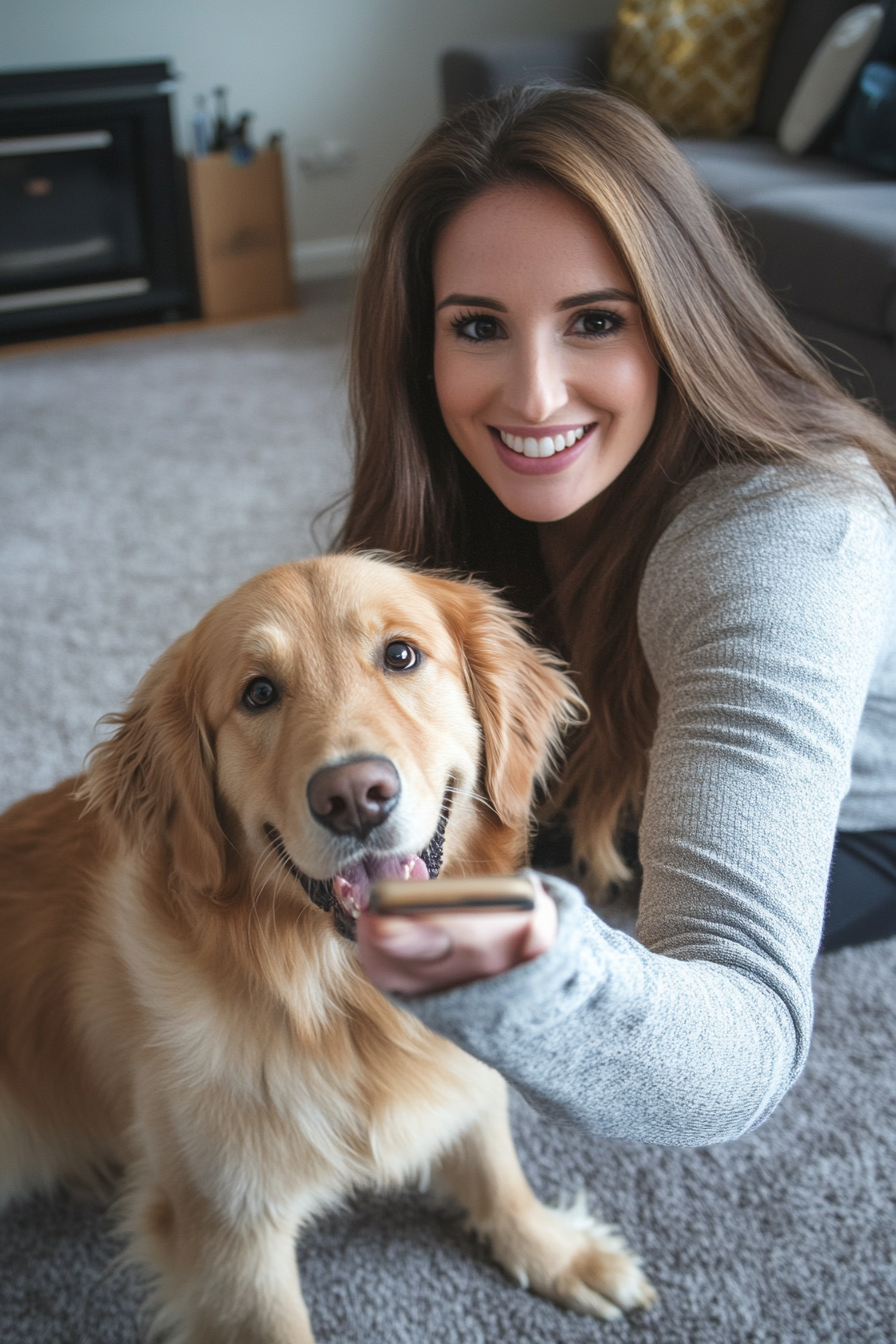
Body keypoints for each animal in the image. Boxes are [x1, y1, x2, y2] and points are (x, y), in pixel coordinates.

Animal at [0, 551, 658, 1338]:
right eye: (258, 694)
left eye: (401, 655)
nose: (353, 796)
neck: (346, 999)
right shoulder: (230, 1228)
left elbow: (494, 1161)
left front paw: (554, 1249)